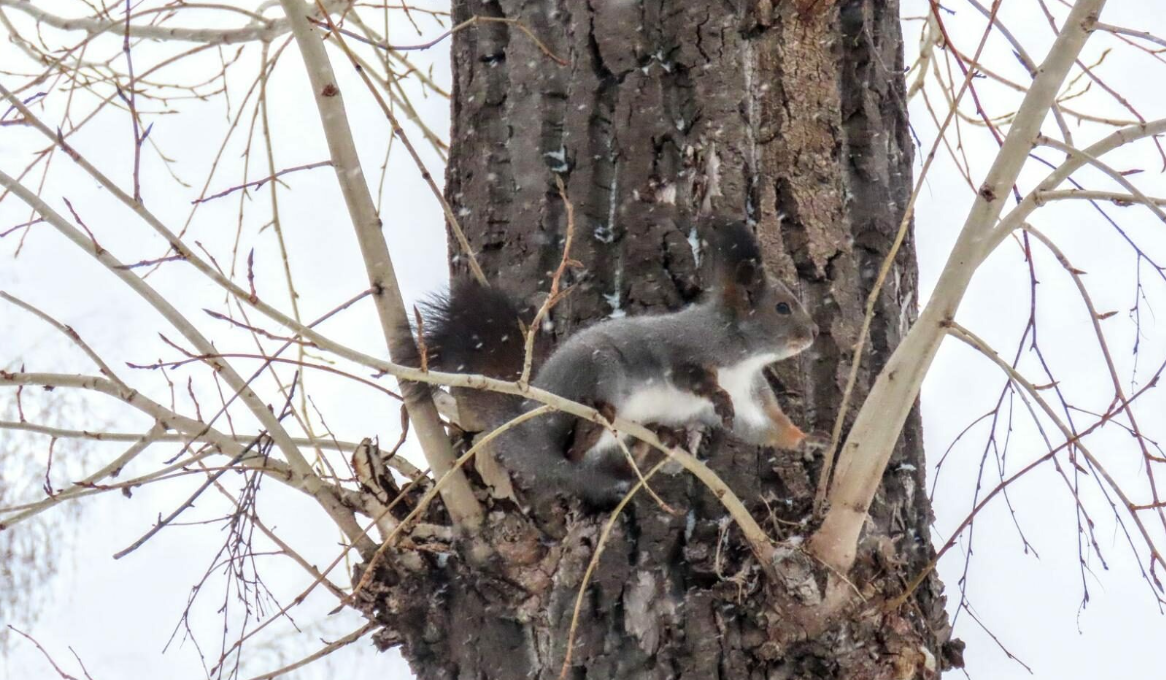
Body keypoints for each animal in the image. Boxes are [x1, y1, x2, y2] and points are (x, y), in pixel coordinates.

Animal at [405, 215, 825, 508]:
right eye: (783, 307)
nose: (814, 332)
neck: (743, 358)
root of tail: (524, 427)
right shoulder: (685, 349)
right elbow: (691, 377)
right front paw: (716, 394)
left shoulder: (750, 396)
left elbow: (763, 428)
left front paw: (806, 441)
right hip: (601, 368)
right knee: (574, 447)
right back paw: (597, 424)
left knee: (596, 464)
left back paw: (659, 443)